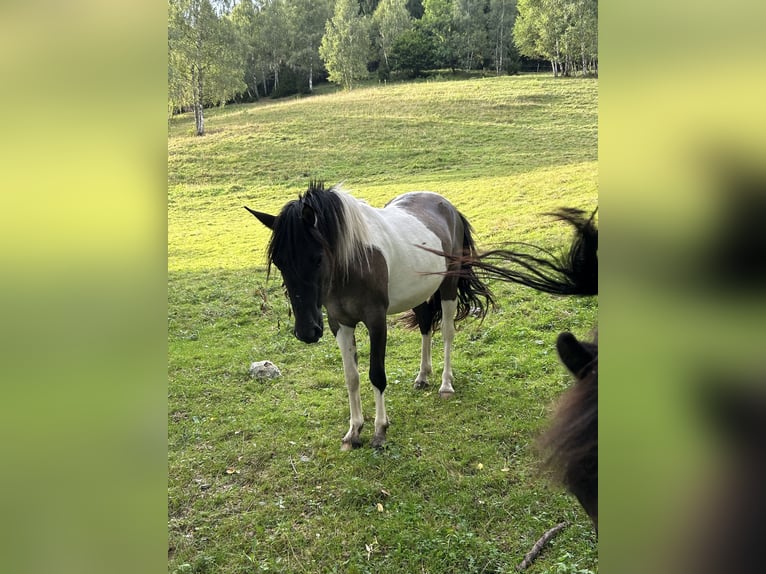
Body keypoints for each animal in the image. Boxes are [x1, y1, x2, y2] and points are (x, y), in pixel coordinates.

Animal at [248, 182, 498, 452]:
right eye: (279, 261)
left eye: (317, 258)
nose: (307, 332)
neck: (353, 261)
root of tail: (448, 206)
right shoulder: (340, 324)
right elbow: (352, 377)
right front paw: (354, 432)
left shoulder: (376, 321)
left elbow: (376, 375)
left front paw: (380, 431)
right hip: (419, 293)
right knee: (425, 326)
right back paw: (422, 376)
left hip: (448, 287)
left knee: (447, 334)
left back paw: (446, 385)